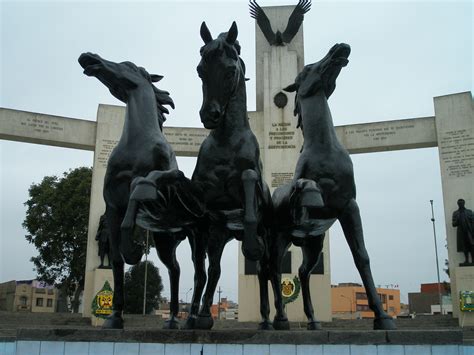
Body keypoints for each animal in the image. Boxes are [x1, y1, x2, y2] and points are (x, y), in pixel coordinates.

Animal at [191, 22, 272, 330]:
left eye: (229, 70)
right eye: (200, 69)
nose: (210, 115)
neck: (227, 142)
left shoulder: (253, 192)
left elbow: (248, 179)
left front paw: (250, 246)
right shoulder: (206, 219)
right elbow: (203, 270)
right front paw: (196, 316)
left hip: (268, 233)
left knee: (269, 270)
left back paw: (273, 320)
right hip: (219, 236)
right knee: (213, 270)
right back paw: (202, 315)